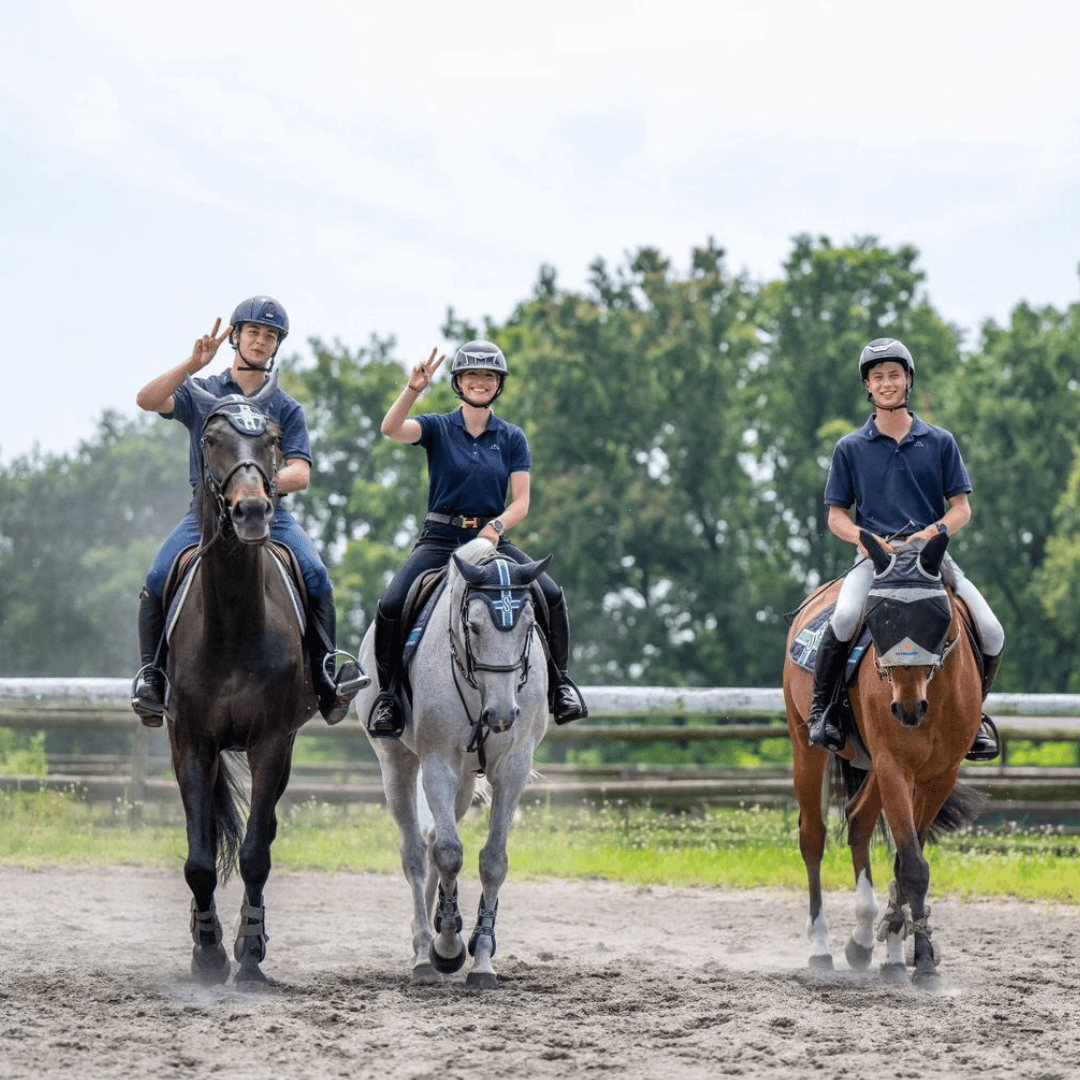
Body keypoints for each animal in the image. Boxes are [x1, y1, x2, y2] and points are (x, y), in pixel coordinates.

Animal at [356, 538, 551, 989]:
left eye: (528, 625)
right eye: (475, 627)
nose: (501, 715)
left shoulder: (513, 769)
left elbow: (493, 862)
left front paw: (481, 958)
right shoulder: (438, 765)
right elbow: (448, 853)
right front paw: (447, 948)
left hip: (464, 782)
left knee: (428, 842)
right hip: (398, 764)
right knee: (414, 850)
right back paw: (423, 953)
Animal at [783, 530, 984, 988]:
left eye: (937, 617)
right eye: (879, 619)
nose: (908, 710)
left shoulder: (940, 775)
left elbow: (905, 862)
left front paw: (907, 952)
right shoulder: (894, 765)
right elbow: (912, 867)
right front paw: (922, 964)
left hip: (875, 766)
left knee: (858, 821)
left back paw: (866, 945)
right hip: (807, 747)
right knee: (813, 838)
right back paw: (821, 950)